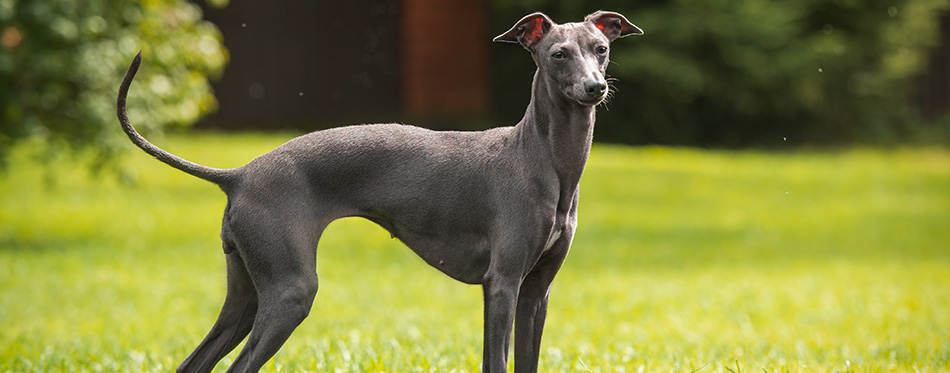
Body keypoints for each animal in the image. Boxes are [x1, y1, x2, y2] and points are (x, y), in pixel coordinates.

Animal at [117, 10, 640, 370]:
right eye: (558, 54)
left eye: (600, 48)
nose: (595, 88)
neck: (543, 161)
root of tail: (240, 173)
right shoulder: (503, 285)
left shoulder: (536, 293)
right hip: (290, 292)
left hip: (246, 294)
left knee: (195, 361)